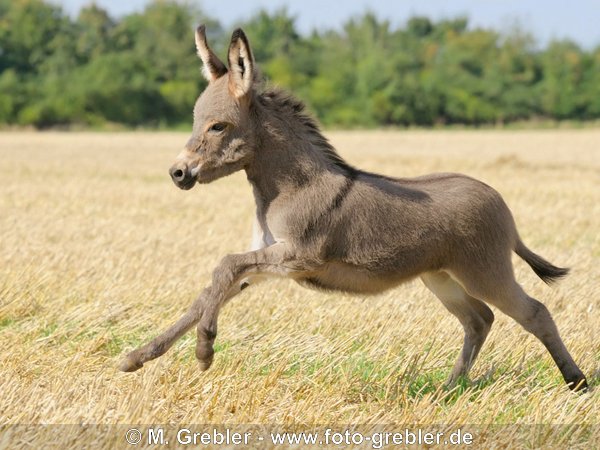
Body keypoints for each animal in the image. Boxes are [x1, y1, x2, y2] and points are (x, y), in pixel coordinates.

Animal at [117, 26, 584, 390]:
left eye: (218, 126)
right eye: (196, 122)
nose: (178, 173)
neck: (288, 188)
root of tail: (501, 203)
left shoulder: (296, 256)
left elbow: (225, 265)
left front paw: (204, 349)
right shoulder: (268, 260)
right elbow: (209, 290)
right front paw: (141, 355)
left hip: (485, 271)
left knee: (534, 312)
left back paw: (576, 381)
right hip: (441, 276)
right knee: (479, 320)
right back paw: (448, 389)